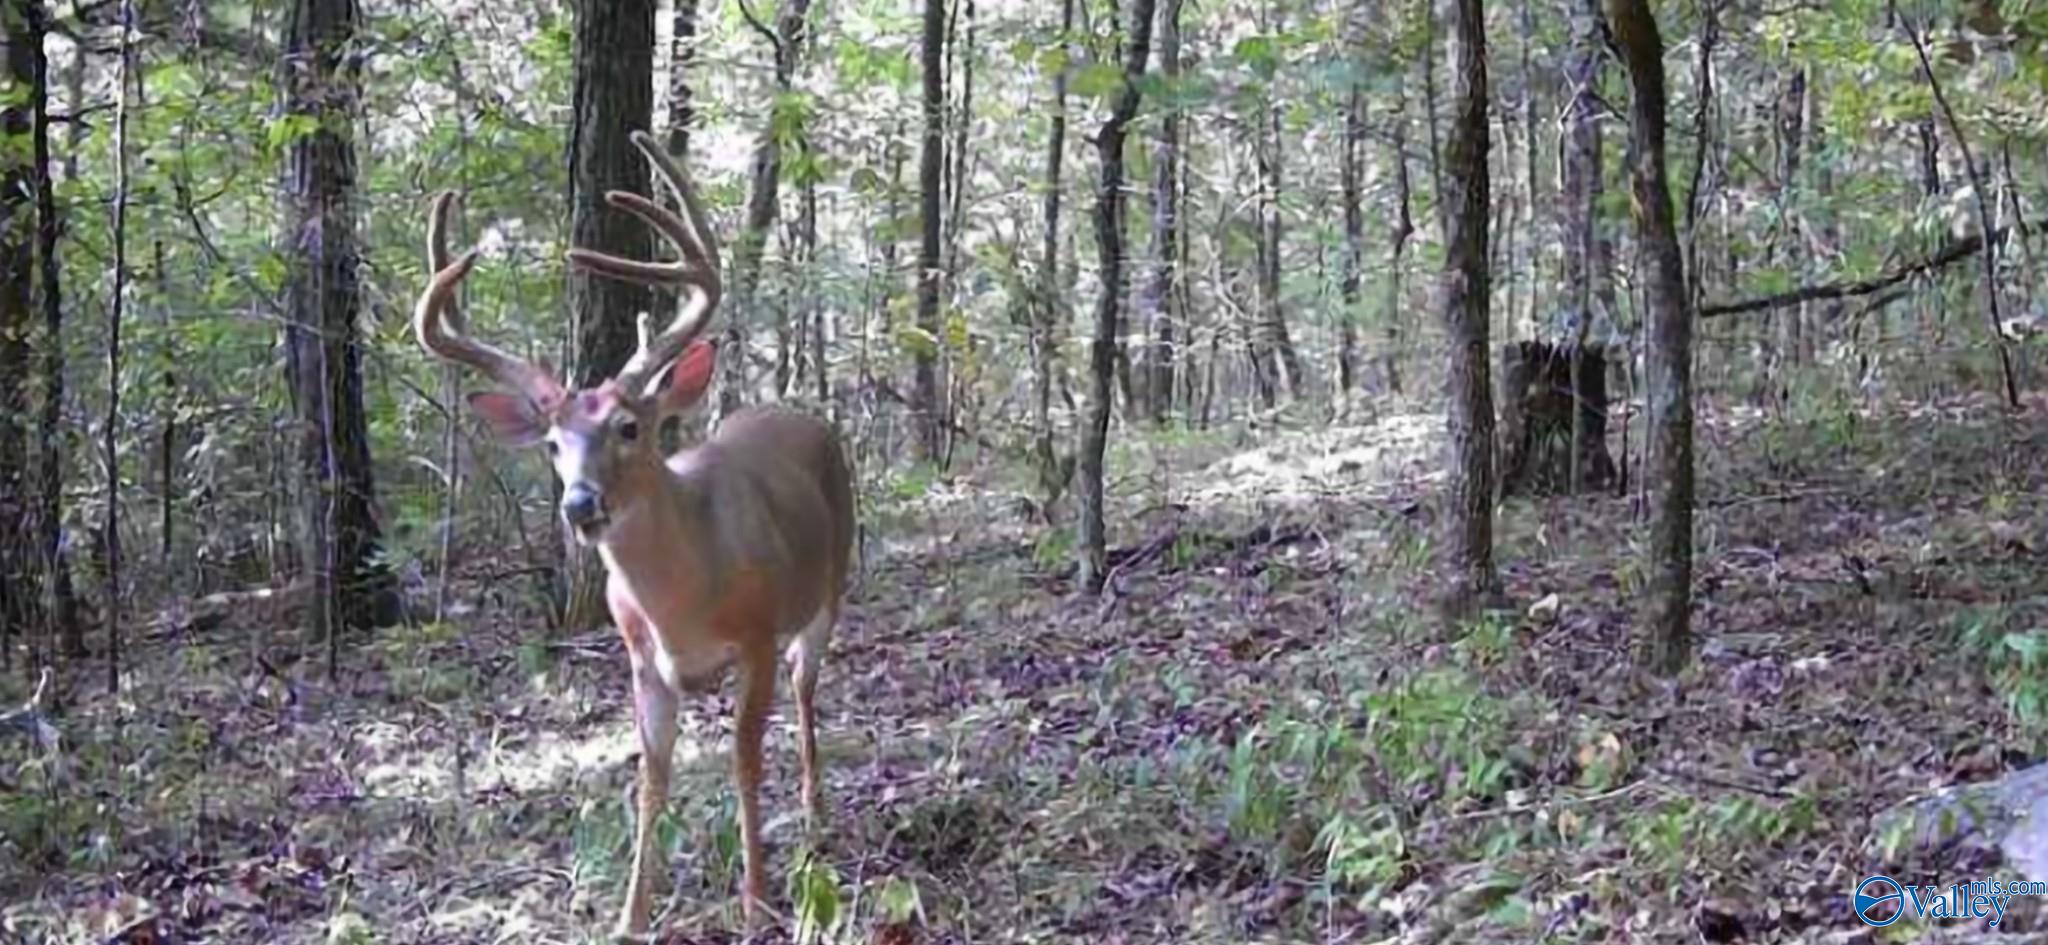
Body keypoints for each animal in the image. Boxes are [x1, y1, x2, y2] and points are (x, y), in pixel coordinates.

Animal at [411, 132, 851, 934]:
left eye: (628, 426)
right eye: (553, 444)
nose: (580, 505)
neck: (686, 596)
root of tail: (796, 412)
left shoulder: (758, 638)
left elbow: (744, 759)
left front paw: (756, 900)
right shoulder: (642, 661)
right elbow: (651, 776)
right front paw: (631, 914)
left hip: (827, 590)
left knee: (808, 693)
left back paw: (813, 816)